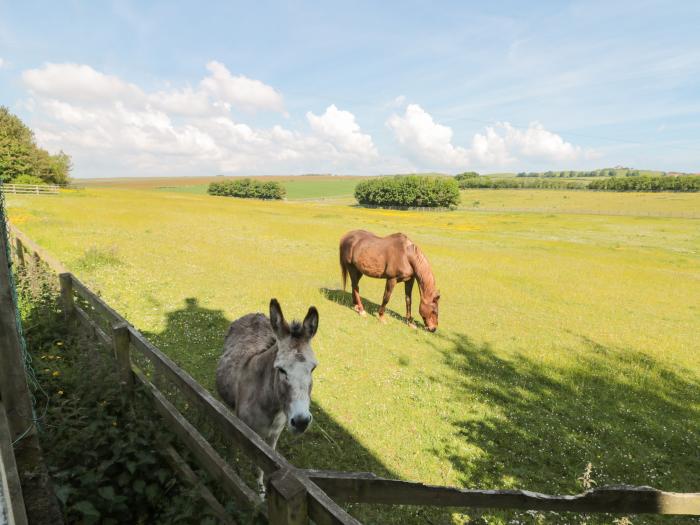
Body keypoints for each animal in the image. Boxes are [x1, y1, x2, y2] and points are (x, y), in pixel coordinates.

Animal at [216, 298, 320, 492]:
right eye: (281, 369)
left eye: (313, 368)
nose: (301, 421)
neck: (272, 407)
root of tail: (255, 314)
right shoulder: (245, 433)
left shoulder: (274, 436)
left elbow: (264, 466)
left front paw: (261, 490)